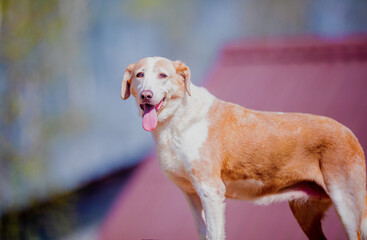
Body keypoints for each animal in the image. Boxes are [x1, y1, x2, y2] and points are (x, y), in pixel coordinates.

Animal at [121, 56, 367, 240]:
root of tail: (350, 135)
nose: (146, 95)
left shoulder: (211, 190)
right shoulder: (191, 193)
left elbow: (214, 234)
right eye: (139, 75)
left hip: (348, 206)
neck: (176, 120)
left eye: (163, 75)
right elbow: (202, 231)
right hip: (305, 213)